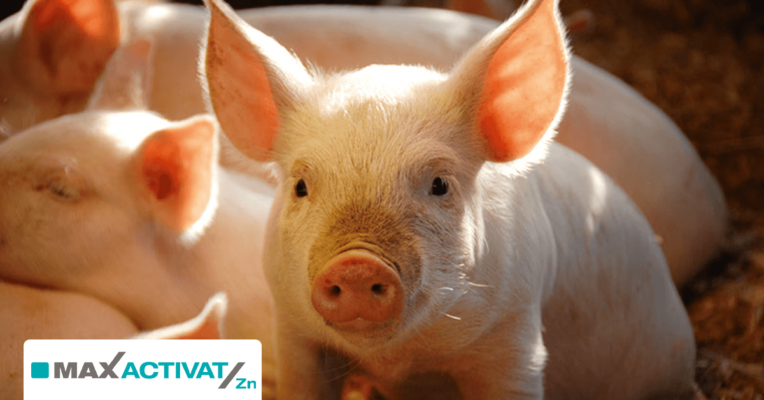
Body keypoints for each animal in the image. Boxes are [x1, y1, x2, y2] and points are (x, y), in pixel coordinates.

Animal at [202, 0, 697, 398]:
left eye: (440, 183)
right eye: (301, 186)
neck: (400, 361)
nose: (357, 264)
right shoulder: (292, 331)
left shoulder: (515, 340)